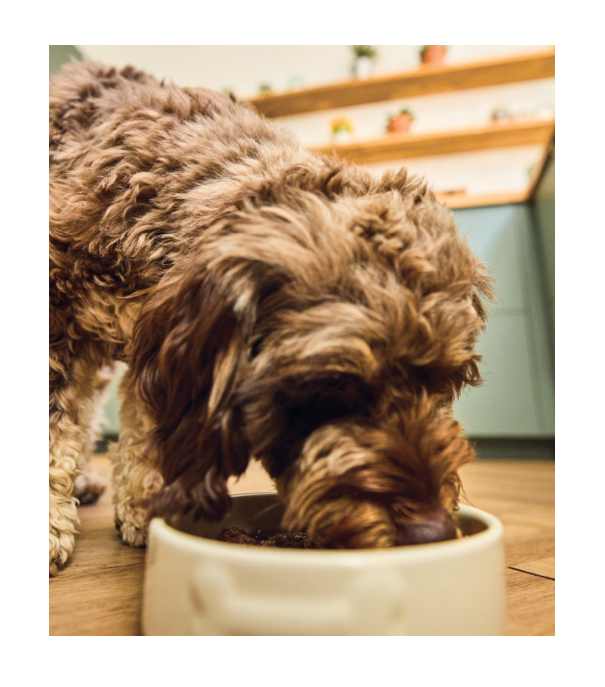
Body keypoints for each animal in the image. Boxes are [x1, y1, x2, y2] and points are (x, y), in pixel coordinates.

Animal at [49, 61, 494, 576]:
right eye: (334, 384)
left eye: (448, 380)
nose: (432, 532)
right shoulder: (61, 321)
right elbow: (57, 430)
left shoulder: (159, 355)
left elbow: (143, 436)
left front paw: (141, 508)